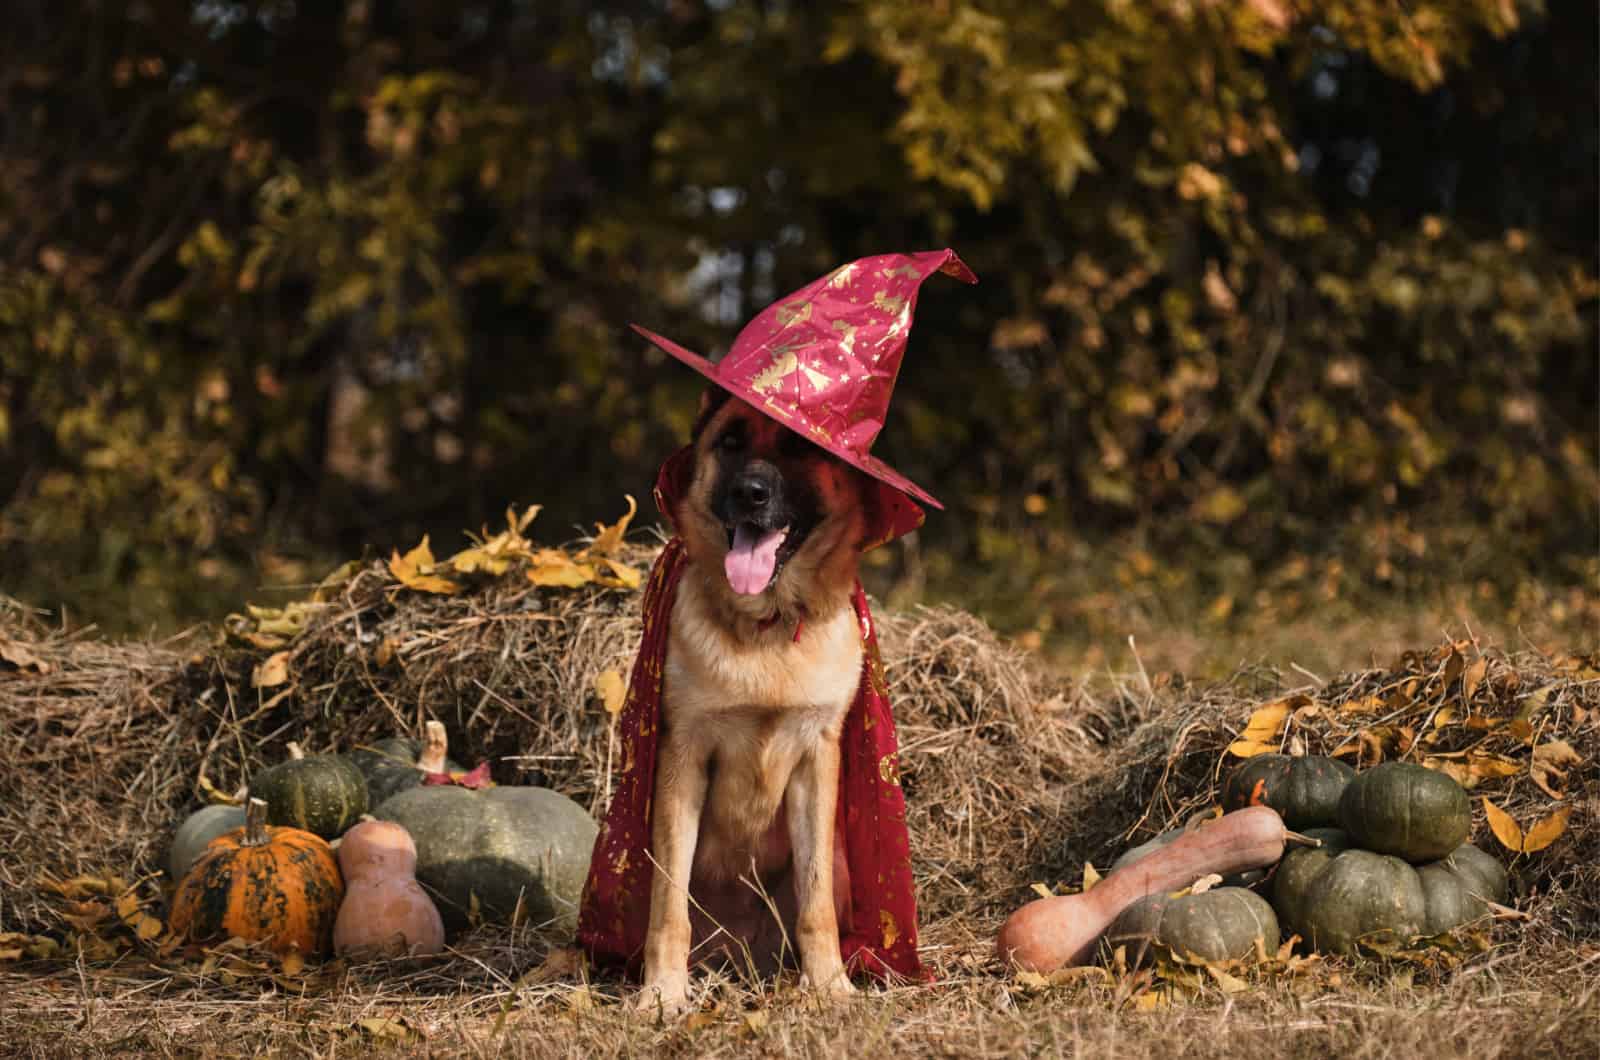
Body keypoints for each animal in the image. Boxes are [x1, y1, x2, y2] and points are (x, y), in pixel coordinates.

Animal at [633, 390, 876, 1011]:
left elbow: (815, 905)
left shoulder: (817, 761)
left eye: (798, 447)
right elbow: (667, 904)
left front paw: (829, 986)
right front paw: (663, 993)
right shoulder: (683, 760)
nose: (750, 494)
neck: (767, 624)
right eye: (730, 443)